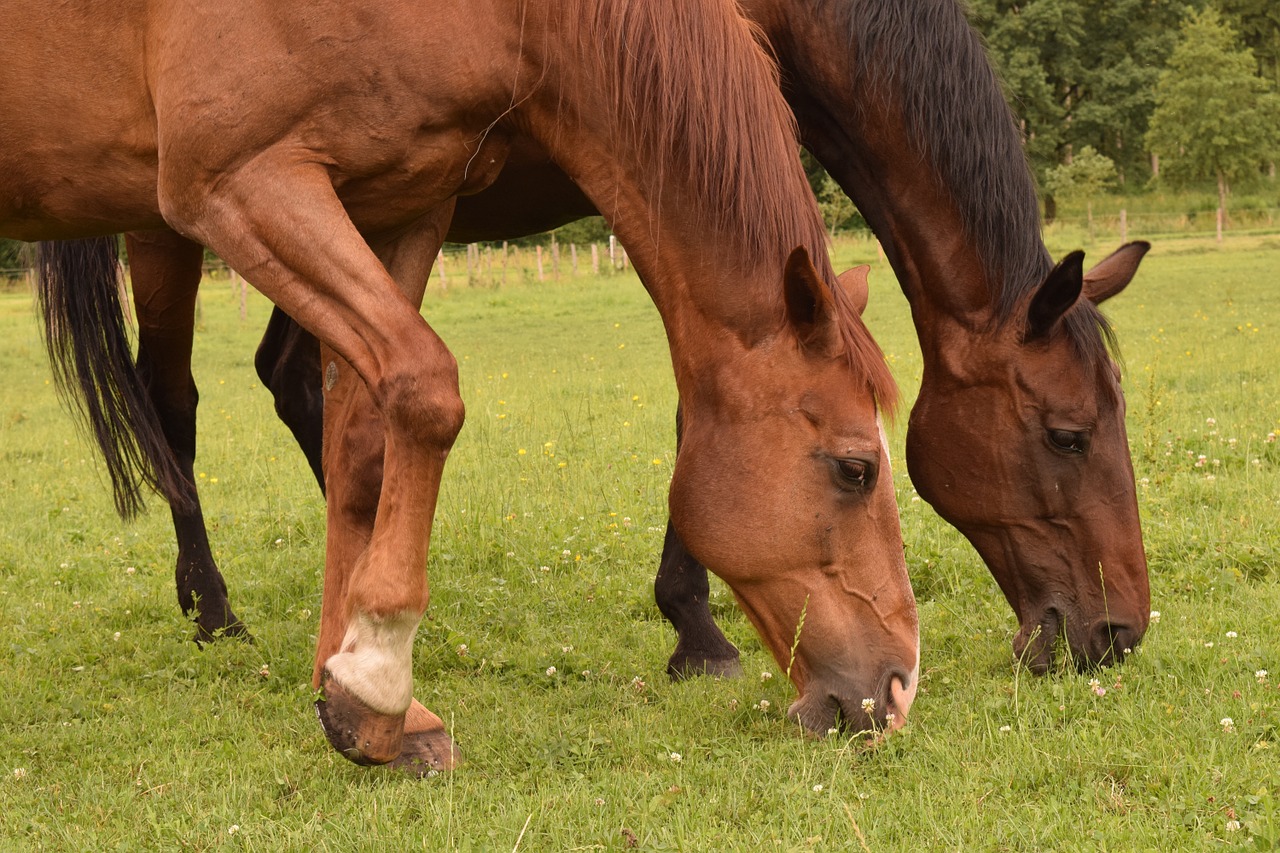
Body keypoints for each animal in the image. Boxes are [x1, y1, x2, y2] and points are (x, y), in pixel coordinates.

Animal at [0, 0, 921, 768]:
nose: (900, 687)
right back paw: (214, 611)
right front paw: (376, 676)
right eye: (855, 468)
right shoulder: (239, 180)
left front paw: (352, 693)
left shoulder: (402, 203)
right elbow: (426, 389)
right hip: (164, 236)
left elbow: (362, 442)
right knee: (172, 405)